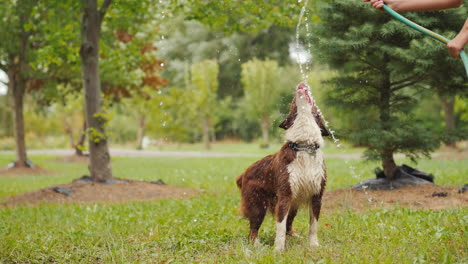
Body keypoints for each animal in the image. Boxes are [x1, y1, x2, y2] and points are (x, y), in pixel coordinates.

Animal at [234, 82, 330, 252]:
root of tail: (244, 173)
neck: (304, 146)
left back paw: (293, 236)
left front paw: (313, 245)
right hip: (257, 204)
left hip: (293, 204)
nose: (302, 83)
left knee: (288, 224)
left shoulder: (317, 195)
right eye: (292, 101)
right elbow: (280, 225)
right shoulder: (284, 194)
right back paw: (257, 244)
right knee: (252, 231)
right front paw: (278, 249)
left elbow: (313, 225)